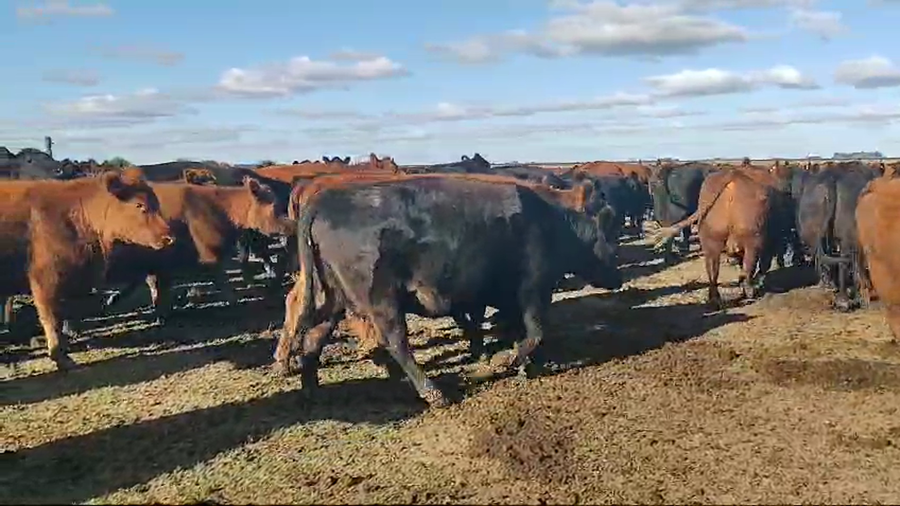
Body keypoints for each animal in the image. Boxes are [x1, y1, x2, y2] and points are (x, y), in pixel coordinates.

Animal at [0, 170, 174, 370]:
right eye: (139, 205)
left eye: (156, 204)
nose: (169, 237)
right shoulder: (44, 280)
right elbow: (52, 318)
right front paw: (60, 356)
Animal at [274, 177, 623, 407]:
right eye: (609, 232)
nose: (618, 278)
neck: (551, 222)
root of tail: (324, 200)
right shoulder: (533, 288)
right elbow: (535, 331)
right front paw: (506, 361)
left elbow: (518, 330)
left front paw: (525, 365)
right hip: (381, 300)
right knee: (395, 342)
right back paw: (433, 393)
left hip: (334, 296)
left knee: (314, 336)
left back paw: (311, 391)